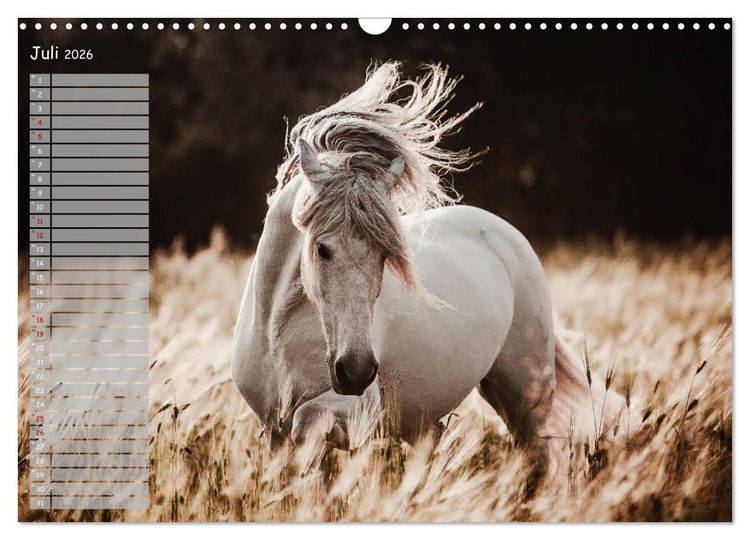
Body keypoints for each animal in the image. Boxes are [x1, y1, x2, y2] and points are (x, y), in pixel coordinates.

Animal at [231, 62, 630, 470]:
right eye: (322, 249)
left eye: (384, 255)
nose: (356, 371)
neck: (278, 331)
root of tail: (504, 235)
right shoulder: (273, 432)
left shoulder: (355, 411)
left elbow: (305, 421)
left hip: (525, 390)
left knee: (545, 448)